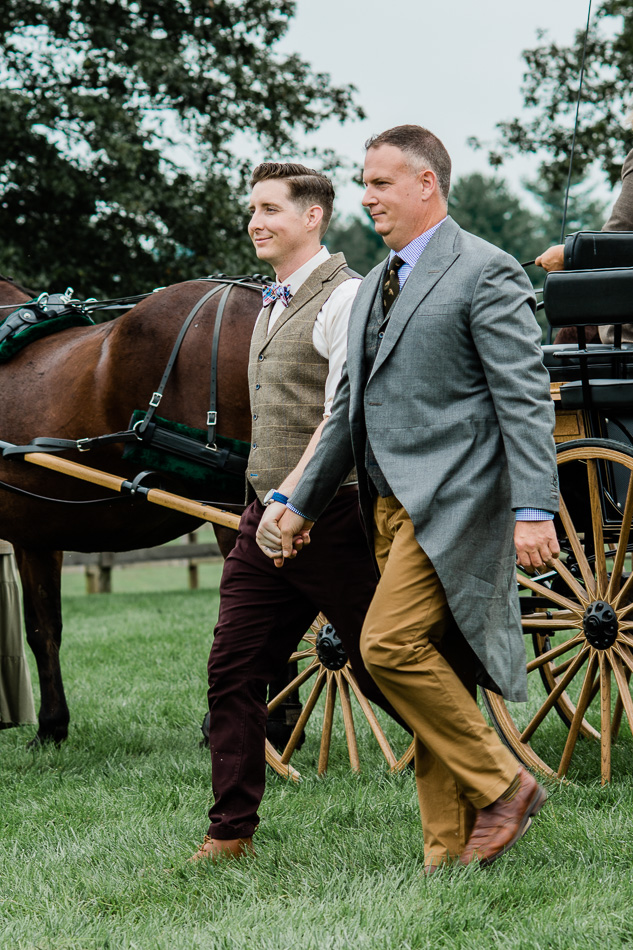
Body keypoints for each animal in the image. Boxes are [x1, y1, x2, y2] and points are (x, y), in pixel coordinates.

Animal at [0, 272, 262, 748]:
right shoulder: (39, 534)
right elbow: (46, 627)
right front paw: (54, 725)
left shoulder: (28, 537)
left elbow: (37, 629)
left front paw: (47, 726)